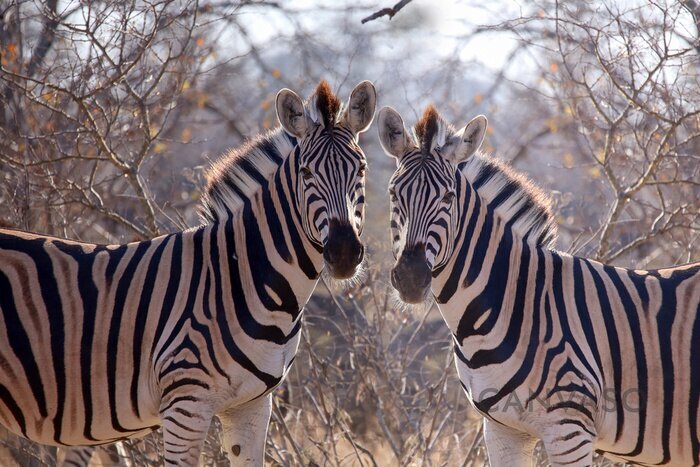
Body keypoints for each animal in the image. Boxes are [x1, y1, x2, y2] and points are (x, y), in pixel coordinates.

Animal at [0, 78, 378, 466]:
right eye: (305, 173)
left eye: (362, 169)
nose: (344, 253)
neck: (248, 280)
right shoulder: (185, 406)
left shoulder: (252, 406)